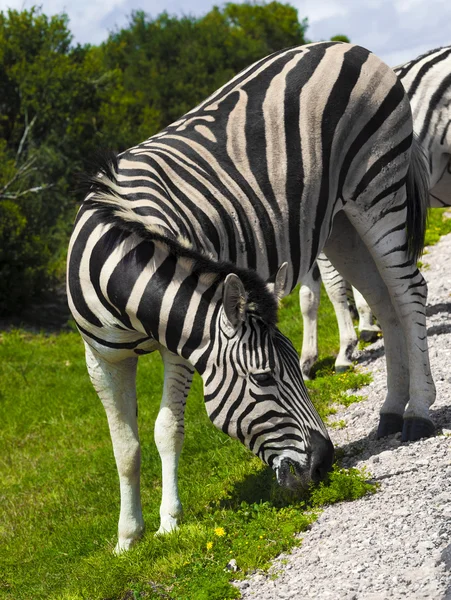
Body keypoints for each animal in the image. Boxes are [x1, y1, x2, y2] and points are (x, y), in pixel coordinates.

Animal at [67, 42, 434, 552]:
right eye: (263, 378)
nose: (324, 464)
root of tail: (345, 46)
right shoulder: (99, 358)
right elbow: (125, 448)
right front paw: (127, 539)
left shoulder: (180, 346)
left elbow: (167, 429)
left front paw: (170, 522)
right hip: (339, 221)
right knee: (384, 302)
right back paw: (391, 412)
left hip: (378, 188)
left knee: (408, 291)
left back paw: (418, 414)